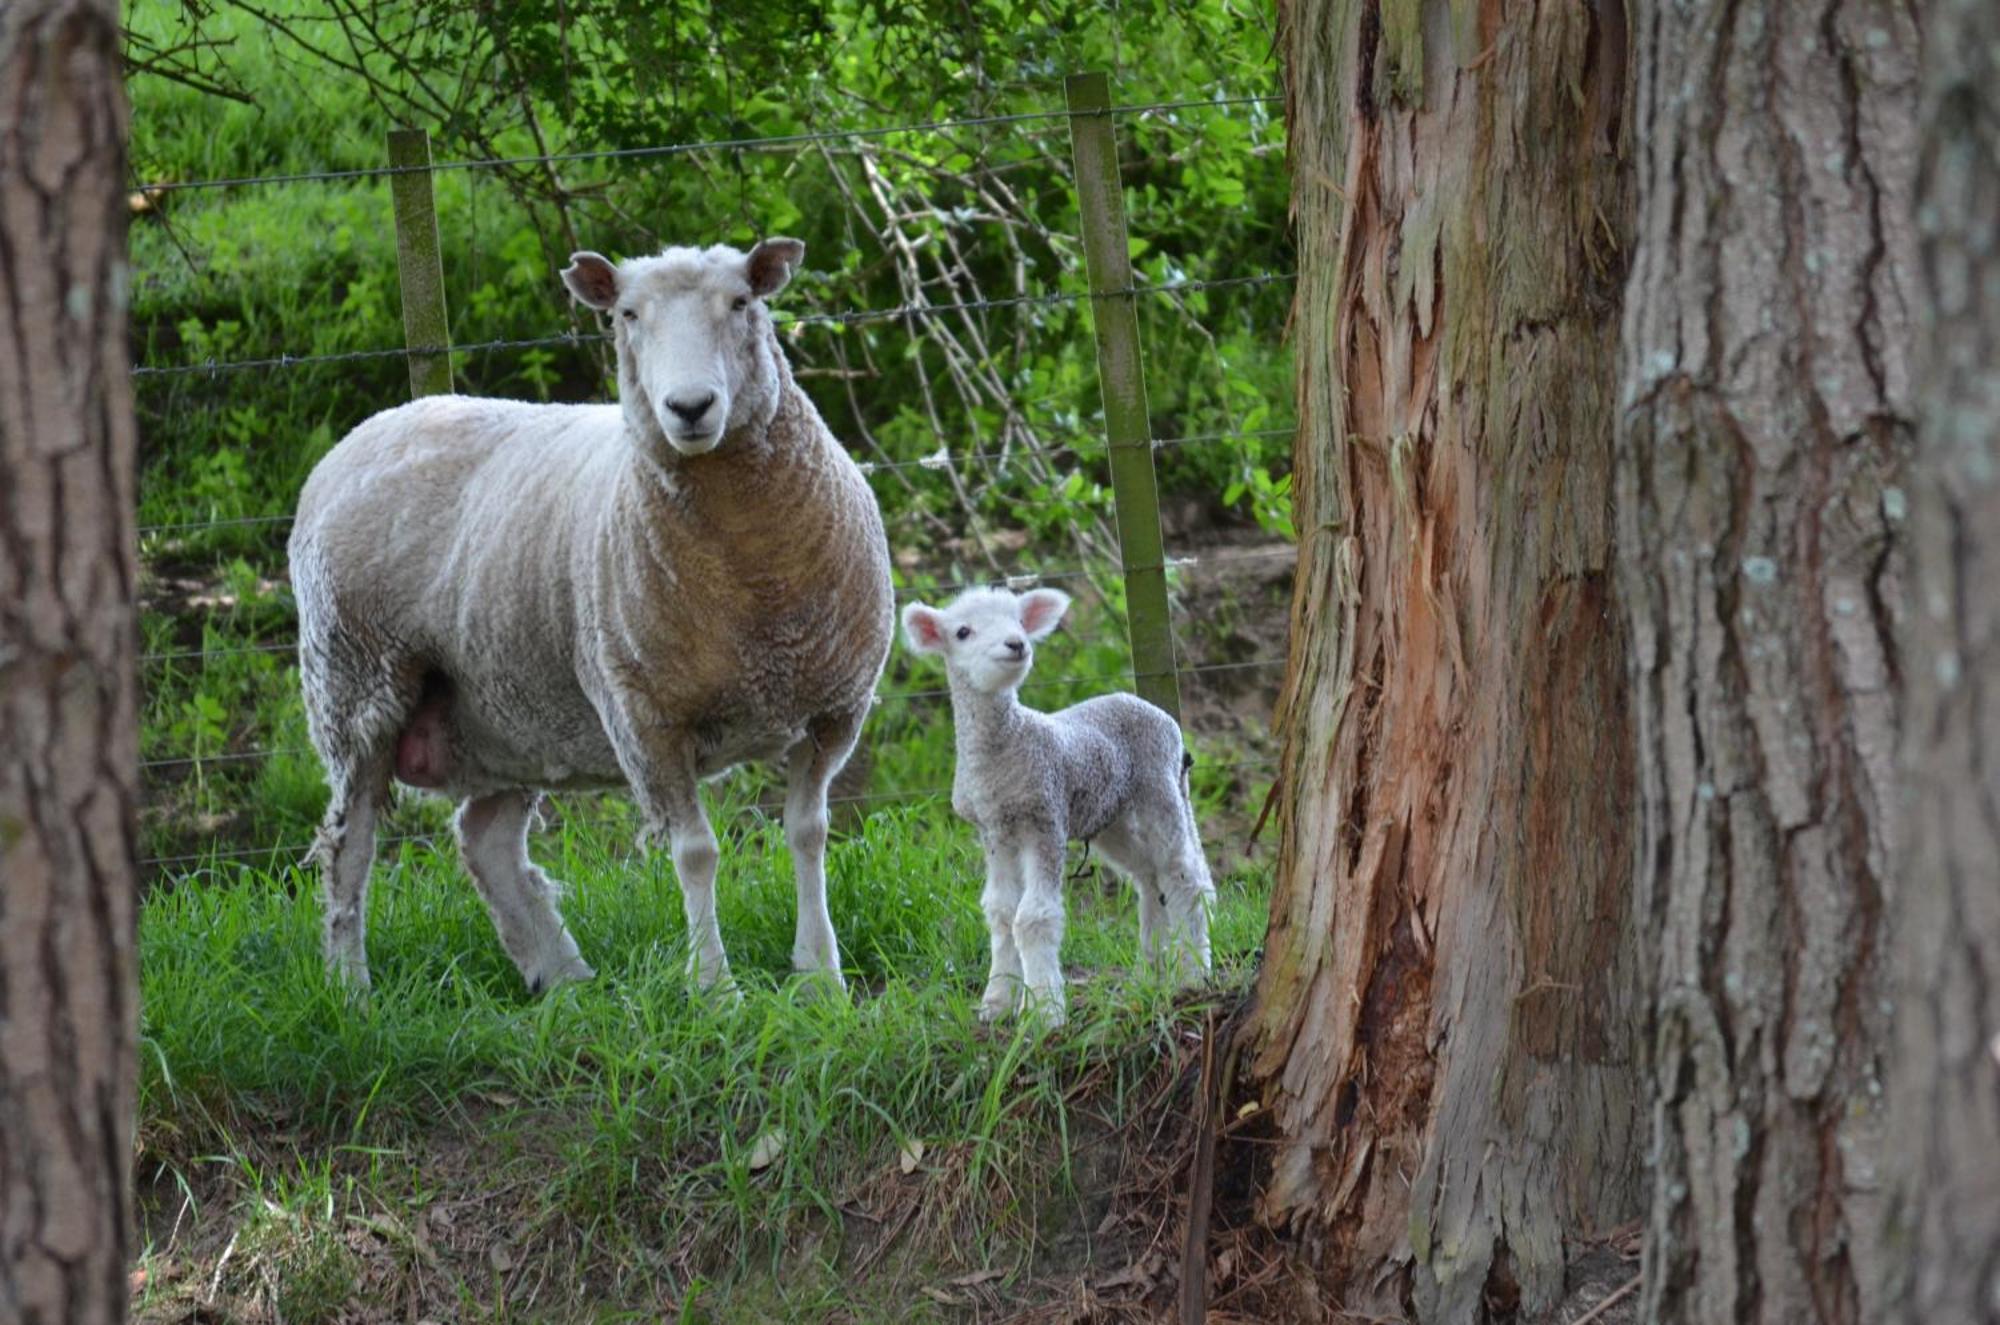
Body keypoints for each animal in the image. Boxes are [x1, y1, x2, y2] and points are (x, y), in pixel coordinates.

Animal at [288, 236, 892, 996]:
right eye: (627, 315)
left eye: (741, 302)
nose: (689, 407)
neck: (753, 589)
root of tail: (364, 432)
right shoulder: (646, 718)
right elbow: (696, 853)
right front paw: (715, 988)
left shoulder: (833, 710)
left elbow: (808, 833)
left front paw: (820, 977)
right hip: (355, 681)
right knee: (351, 844)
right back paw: (352, 987)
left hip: (506, 704)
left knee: (485, 838)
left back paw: (563, 978)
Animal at [900, 588, 1208, 1032]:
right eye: (962, 632)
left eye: (1018, 621)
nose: (1017, 643)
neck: (1005, 751)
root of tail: (1152, 708)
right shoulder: (994, 830)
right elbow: (1000, 912)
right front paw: (997, 1002)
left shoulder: (1044, 819)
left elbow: (1032, 917)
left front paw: (1044, 1011)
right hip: (1109, 816)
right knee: (1149, 877)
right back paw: (1149, 973)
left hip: (1159, 785)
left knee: (1183, 876)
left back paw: (1194, 973)